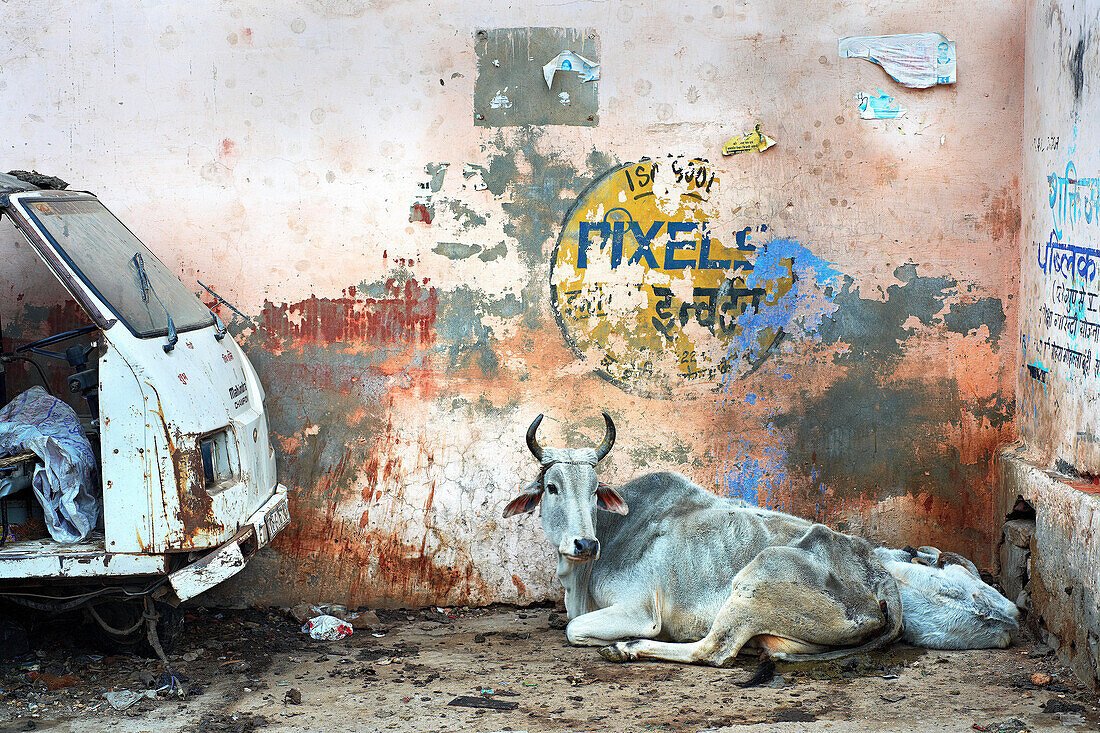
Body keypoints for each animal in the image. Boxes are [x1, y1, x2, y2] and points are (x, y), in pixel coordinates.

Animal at [506, 411, 1020, 669]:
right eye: (551, 487)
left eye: (596, 490)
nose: (583, 544)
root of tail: (881, 577)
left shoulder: (639, 610)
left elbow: (575, 629)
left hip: (756, 579)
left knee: (715, 651)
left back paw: (628, 650)